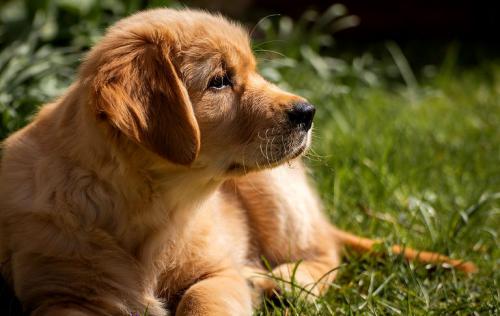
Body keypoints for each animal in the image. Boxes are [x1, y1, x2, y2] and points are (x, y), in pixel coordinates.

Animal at [0, 7, 476, 316]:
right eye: (219, 81)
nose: (308, 112)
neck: (152, 206)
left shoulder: (220, 269)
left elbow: (202, 299)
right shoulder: (61, 292)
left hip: (275, 190)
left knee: (326, 251)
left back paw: (285, 282)